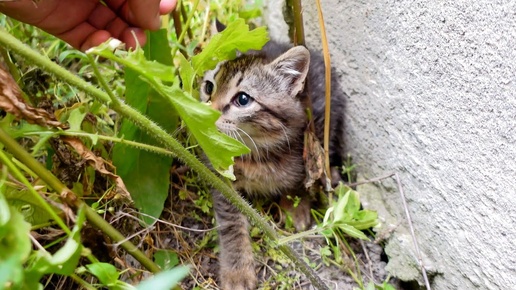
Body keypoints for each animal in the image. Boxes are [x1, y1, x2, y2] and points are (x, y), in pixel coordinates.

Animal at [202, 39, 346, 290]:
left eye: (243, 99)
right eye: (209, 88)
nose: (206, 113)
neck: (255, 152)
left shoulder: (311, 134)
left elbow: (300, 178)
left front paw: (295, 208)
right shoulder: (220, 177)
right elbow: (231, 222)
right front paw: (237, 271)